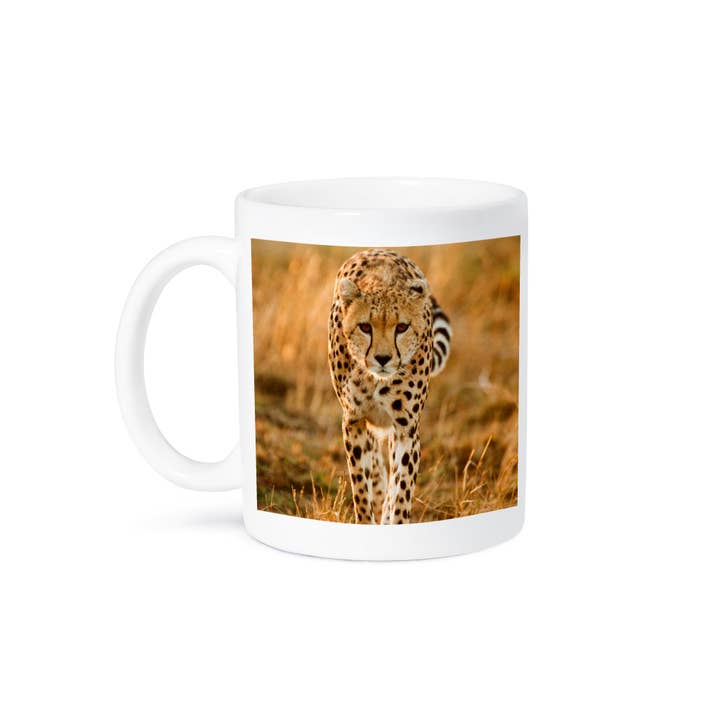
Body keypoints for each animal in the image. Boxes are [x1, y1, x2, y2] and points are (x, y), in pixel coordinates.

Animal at [328, 249, 451, 524]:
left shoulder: (406, 428)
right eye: (365, 327)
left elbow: (402, 488)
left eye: (402, 327)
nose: (383, 358)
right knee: (375, 461)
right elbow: (361, 486)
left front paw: (395, 519)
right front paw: (366, 518)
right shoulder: (353, 419)